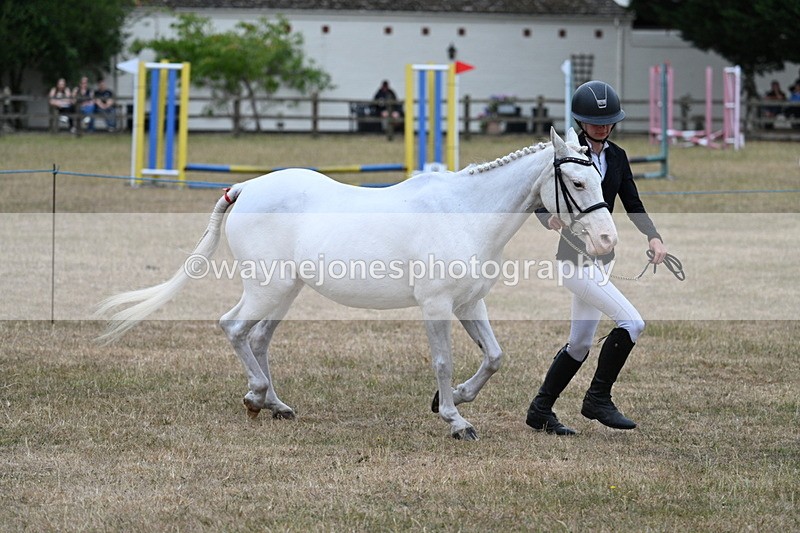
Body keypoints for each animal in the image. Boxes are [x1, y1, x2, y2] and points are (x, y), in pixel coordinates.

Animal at [97, 127, 617, 441]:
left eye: (598, 175)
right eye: (576, 181)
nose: (608, 240)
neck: (463, 212)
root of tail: (246, 188)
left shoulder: (471, 303)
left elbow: (493, 357)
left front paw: (455, 400)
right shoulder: (436, 306)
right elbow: (444, 362)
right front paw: (455, 420)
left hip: (286, 292)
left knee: (258, 339)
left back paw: (276, 404)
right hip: (267, 288)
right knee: (234, 329)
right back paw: (255, 396)